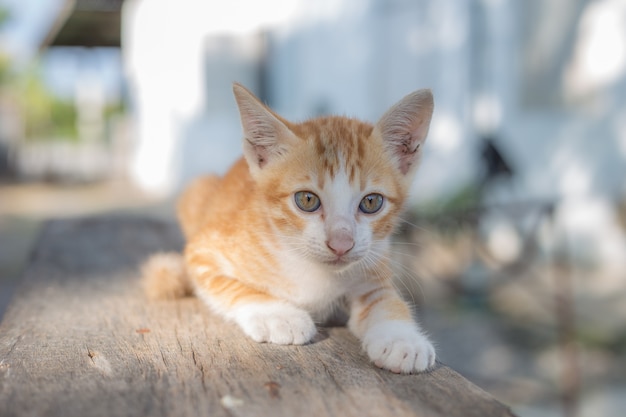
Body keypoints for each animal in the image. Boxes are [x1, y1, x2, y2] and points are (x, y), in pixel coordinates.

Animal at [141, 83, 434, 372]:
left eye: (371, 202)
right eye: (307, 200)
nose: (341, 244)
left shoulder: (373, 265)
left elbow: (386, 300)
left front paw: (402, 339)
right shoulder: (201, 253)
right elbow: (234, 287)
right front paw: (278, 315)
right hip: (197, 189)